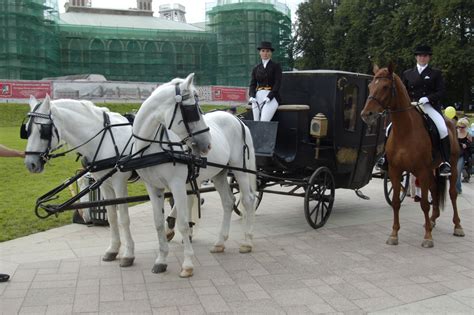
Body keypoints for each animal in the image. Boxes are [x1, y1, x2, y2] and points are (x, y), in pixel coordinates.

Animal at [23, 95, 136, 266]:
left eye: (43, 131)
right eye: (26, 131)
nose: (31, 164)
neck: (104, 139)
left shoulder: (119, 183)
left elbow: (123, 218)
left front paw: (128, 254)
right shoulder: (104, 183)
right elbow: (111, 216)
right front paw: (113, 250)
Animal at [133, 73, 256, 278]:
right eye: (192, 110)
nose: (207, 144)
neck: (153, 147)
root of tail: (237, 119)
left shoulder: (177, 185)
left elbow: (183, 223)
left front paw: (187, 264)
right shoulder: (153, 187)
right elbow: (158, 223)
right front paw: (161, 260)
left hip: (240, 169)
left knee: (248, 200)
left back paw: (247, 242)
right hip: (220, 173)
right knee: (228, 202)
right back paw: (220, 242)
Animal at [362, 64, 462, 248]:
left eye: (385, 87)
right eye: (370, 86)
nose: (367, 115)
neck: (405, 130)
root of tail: (450, 122)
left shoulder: (421, 170)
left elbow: (424, 203)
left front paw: (428, 237)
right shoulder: (395, 171)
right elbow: (395, 202)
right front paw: (394, 234)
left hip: (450, 165)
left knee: (452, 193)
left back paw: (457, 226)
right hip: (429, 170)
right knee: (435, 189)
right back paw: (433, 219)